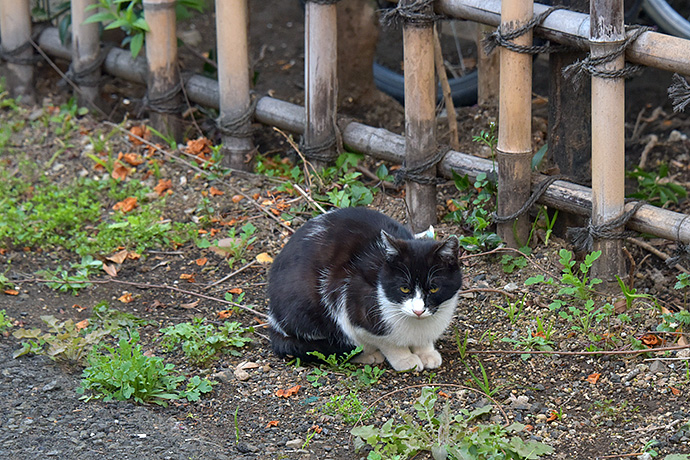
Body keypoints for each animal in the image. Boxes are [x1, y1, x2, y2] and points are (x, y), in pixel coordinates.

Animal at [266, 207, 460, 372]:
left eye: (433, 289)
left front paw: (426, 352)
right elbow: (387, 342)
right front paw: (405, 359)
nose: (418, 310)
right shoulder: (353, 304)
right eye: (404, 288)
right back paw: (368, 356)